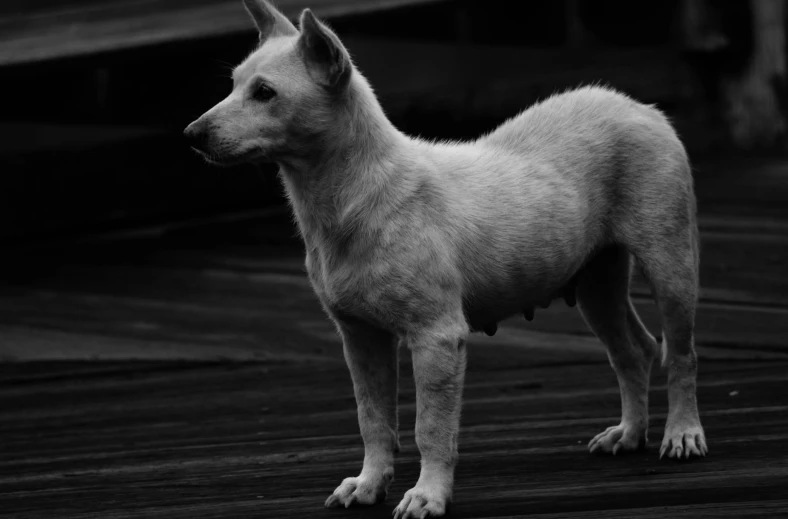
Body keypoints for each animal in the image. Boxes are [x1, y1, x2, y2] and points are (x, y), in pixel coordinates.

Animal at [185, 2, 708, 516]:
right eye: (232, 83)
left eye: (265, 92)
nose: (191, 134)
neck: (354, 198)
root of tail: (637, 105)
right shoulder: (359, 337)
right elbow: (371, 417)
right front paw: (367, 485)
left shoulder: (436, 336)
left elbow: (430, 428)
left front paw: (427, 497)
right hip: (595, 280)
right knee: (634, 351)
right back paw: (629, 434)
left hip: (670, 260)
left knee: (681, 352)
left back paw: (682, 435)